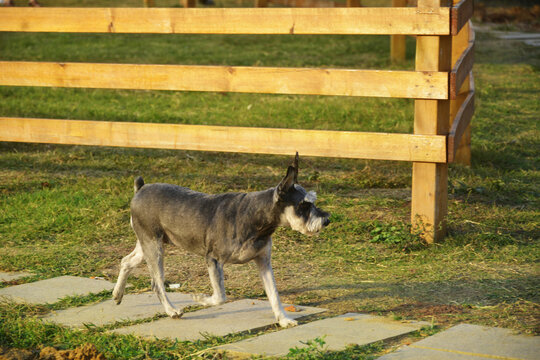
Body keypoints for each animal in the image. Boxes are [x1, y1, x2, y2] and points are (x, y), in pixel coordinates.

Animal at [113, 153, 330, 328]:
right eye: (303, 205)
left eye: (313, 202)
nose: (326, 220)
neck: (255, 216)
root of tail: (140, 189)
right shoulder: (213, 259)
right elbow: (220, 297)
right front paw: (201, 298)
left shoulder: (263, 261)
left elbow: (274, 294)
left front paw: (284, 319)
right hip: (154, 246)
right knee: (156, 282)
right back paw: (172, 311)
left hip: (146, 245)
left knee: (126, 261)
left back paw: (117, 294)